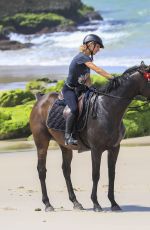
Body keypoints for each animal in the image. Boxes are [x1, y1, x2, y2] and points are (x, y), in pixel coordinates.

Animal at [29, 61, 150, 212]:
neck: (107, 109)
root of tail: (40, 100)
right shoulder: (96, 149)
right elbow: (96, 175)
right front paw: (96, 203)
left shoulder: (114, 148)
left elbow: (111, 174)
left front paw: (113, 203)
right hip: (41, 143)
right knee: (41, 170)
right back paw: (47, 204)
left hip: (65, 146)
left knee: (66, 170)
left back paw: (75, 202)